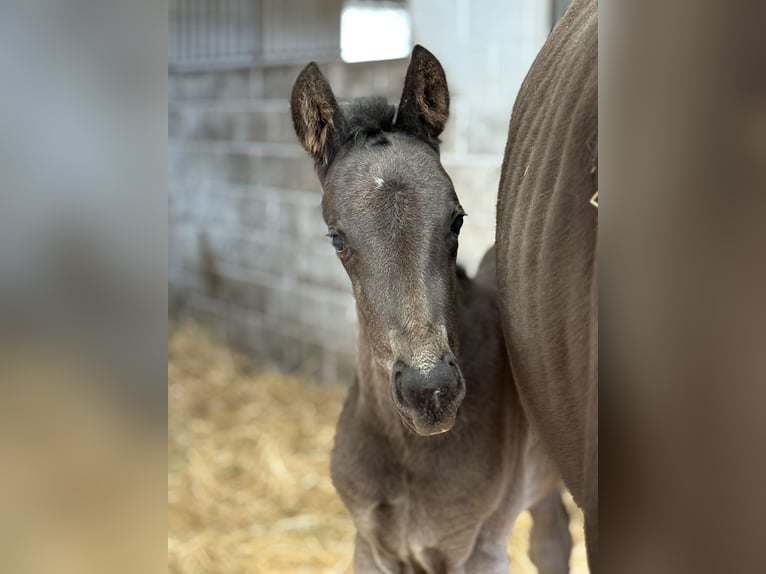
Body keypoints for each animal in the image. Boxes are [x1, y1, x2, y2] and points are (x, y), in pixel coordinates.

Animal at [291, 46, 571, 573]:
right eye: (337, 238)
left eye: (457, 219)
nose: (431, 393)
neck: (406, 451)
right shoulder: (371, 547)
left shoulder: (478, 549)